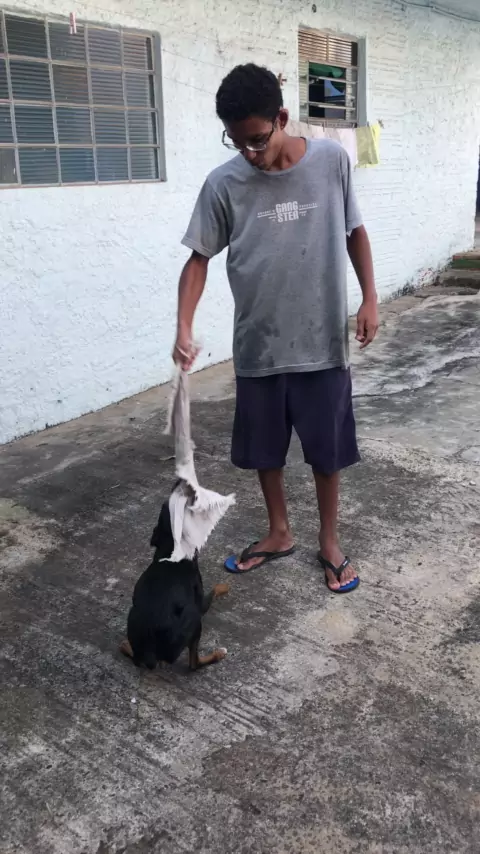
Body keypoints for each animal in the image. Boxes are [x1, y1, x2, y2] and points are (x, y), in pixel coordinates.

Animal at [120, 496, 229, 671]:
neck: (171, 551)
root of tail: (151, 654)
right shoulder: (201, 604)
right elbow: (214, 591)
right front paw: (223, 587)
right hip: (194, 623)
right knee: (194, 664)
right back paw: (218, 654)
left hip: (133, 618)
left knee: (134, 656)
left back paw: (125, 645)